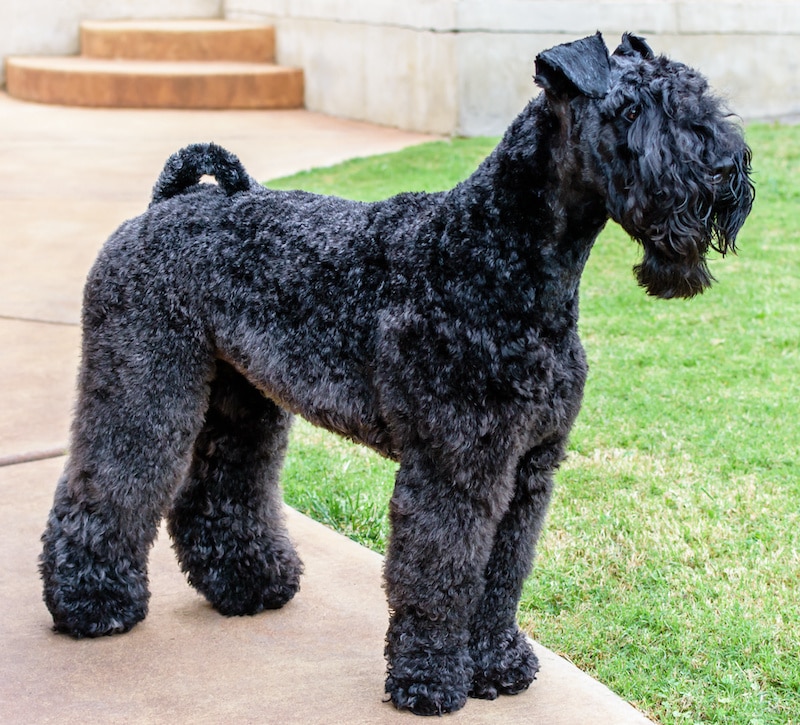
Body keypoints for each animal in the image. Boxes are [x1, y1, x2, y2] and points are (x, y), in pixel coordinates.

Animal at [40, 32, 752, 712]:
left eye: (697, 94)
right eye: (630, 110)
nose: (723, 169)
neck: (501, 258)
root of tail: (168, 202)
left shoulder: (529, 466)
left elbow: (503, 573)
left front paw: (496, 665)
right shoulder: (456, 465)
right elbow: (441, 574)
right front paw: (430, 680)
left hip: (242, 399)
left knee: (219, 487)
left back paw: (250, 584)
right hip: (144, 383)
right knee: (106, 483)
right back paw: (92, 603)